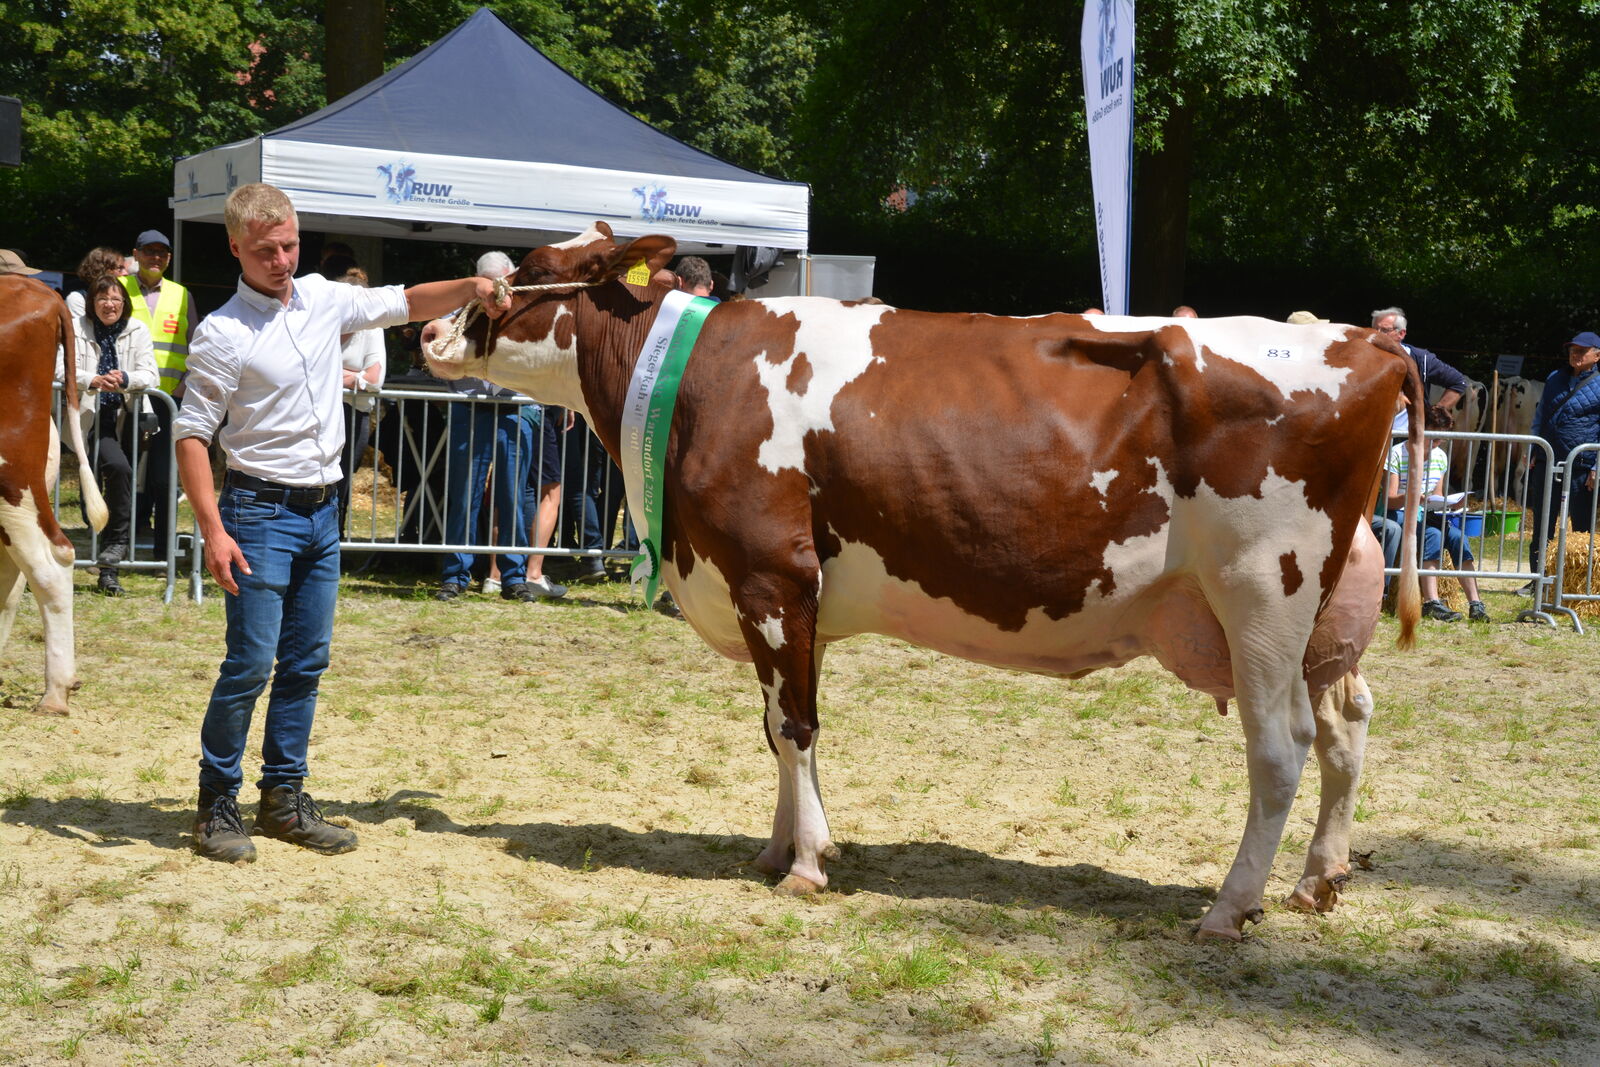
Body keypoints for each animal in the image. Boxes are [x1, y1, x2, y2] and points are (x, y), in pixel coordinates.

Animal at [419, 225, 1420, 940]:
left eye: (524, 270)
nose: (429, 327)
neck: (694, 375)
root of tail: (1365, 342)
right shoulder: (782, 594)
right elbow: (778, 727)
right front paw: (778, 847)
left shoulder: (770, 575)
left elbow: (795, 724)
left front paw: (808, 863)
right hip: (1317, 619)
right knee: (1346, 725)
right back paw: (1316, 880)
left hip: (1262, 590)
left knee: (1281, 746)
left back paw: (1227, 907)